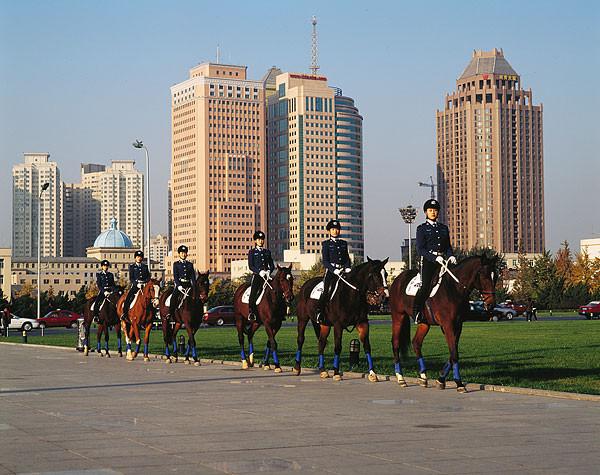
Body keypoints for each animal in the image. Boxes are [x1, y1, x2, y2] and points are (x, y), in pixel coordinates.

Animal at [386, 255, 500, 392]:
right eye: (484, 276)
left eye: (496, 276)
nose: (491, 304)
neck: (454, 289)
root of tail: (398, 279)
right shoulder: (448, 325)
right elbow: (454, 354)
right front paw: (459, 383)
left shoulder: (458, 325)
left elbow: (453, 352)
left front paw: (441, 379)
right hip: (398, 316)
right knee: (396, 343)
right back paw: (400, 378)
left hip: (424, 323)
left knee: (416, 343)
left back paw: (423, 377)